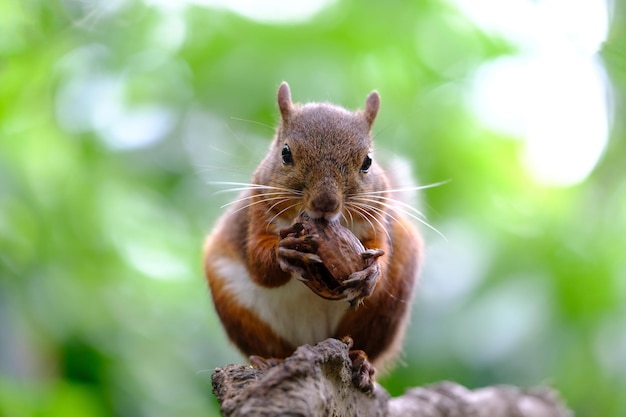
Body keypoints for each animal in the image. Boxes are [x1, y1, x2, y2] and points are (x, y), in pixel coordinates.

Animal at [202, 82, 422, 374]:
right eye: (285, 153)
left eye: (367, 162)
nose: (325, 203)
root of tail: (314, 341)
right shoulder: (257, 210)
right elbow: (259, 266)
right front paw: (285, 252)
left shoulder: (378, 218)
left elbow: (379, 251)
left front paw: (372, 273)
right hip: (237, 305)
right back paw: (271, 360)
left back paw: (359, 359)